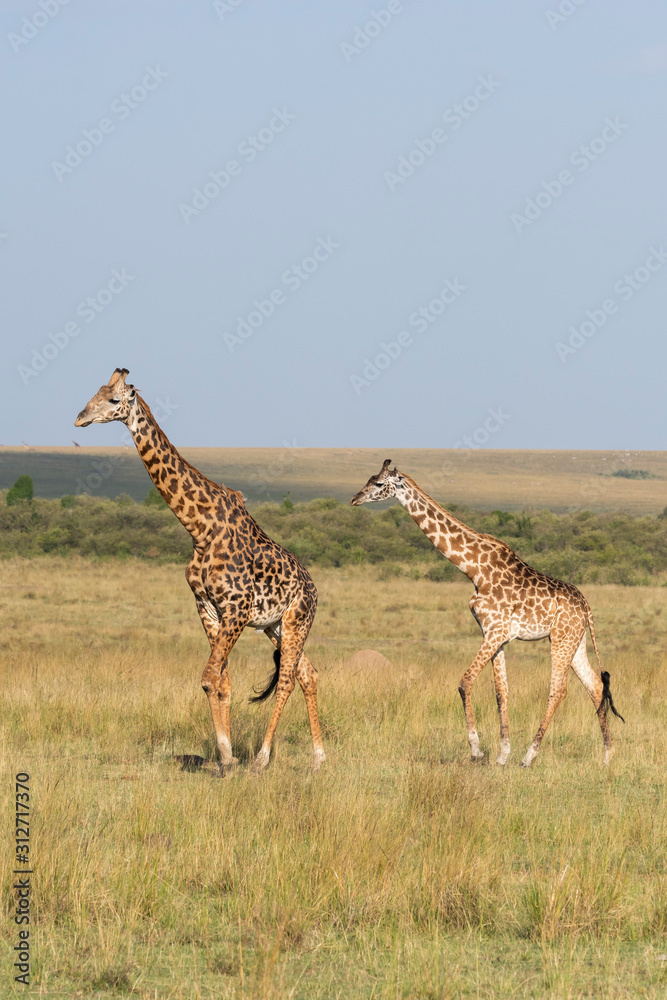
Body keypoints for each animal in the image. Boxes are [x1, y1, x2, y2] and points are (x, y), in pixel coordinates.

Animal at [75, 368, 325, 774]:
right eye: (94, 392)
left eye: (113, 399)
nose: (80, 417)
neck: (199, 528)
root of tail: (315, 590)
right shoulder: (207, 607)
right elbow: (222, 681)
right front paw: (226, 760)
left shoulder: (236, 608)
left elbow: (209, 678)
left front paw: (229, 756)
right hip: (274, 627)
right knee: (308, 673)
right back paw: (318, 759)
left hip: (296, 620)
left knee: (288, 678)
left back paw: (262, 759)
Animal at [351, 460, 624, 767]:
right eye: (369, 478)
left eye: (378, 483)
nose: (354, 499)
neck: (473, 569)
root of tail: (587, 606)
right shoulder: (496, 635)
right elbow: (500, 692)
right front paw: (502, 755)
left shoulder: (494, 632)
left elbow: (464, 681)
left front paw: (476, 749)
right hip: (574, 640)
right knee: (595, 686)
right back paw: (607, 756)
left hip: (562, 639)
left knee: (558, 690)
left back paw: (529, 756)